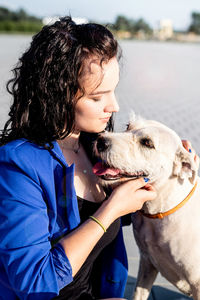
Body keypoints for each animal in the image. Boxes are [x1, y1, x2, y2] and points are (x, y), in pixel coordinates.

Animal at [93, 113, 200, 300]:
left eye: (147, 143)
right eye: (128, 126)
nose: (101, 141)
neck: (159, 211)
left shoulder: (197, 282)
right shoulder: (147, 263)